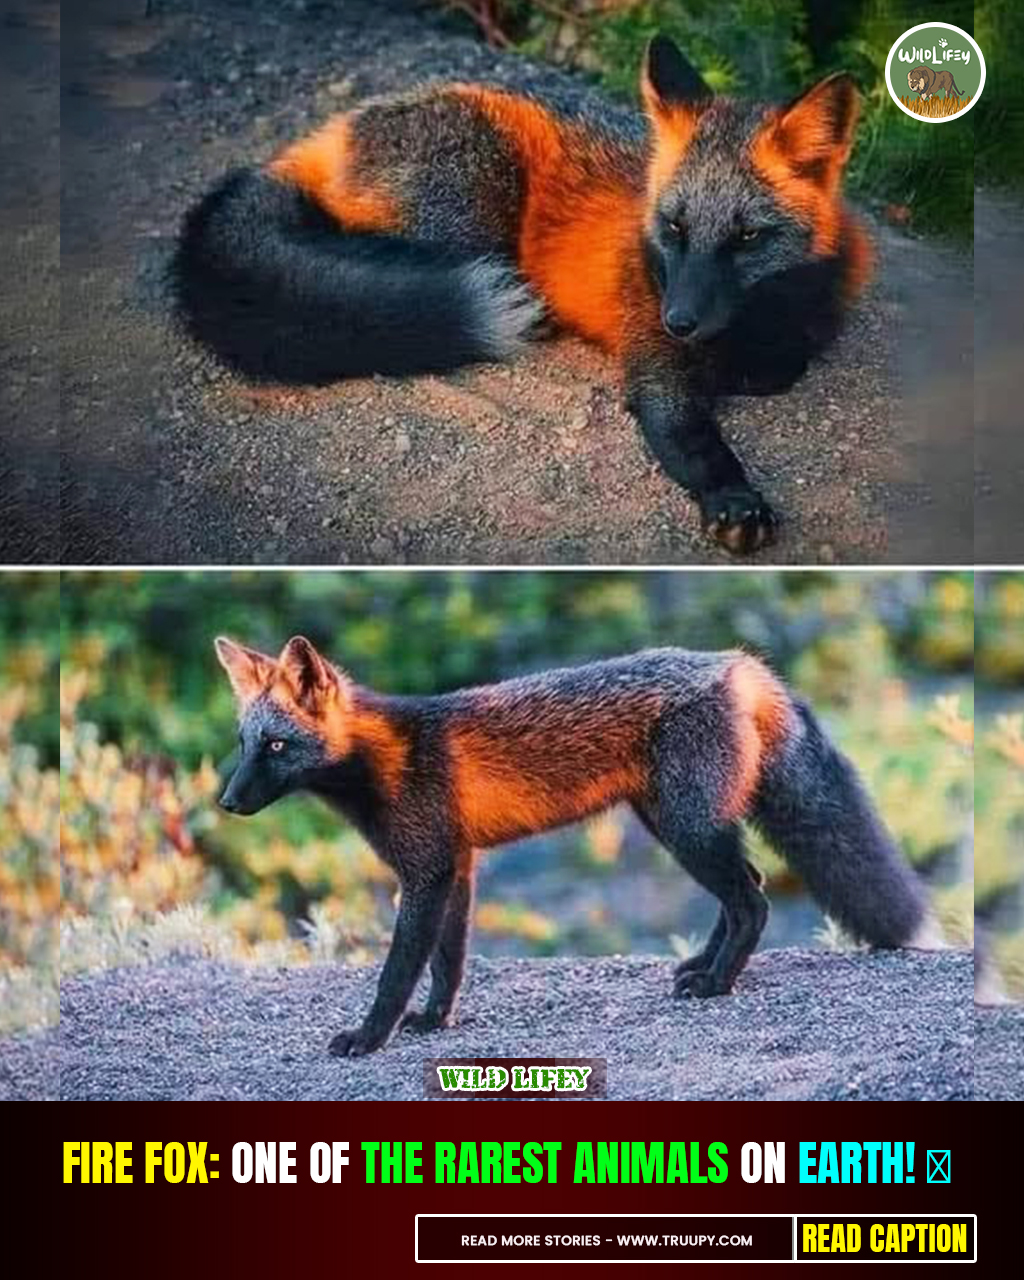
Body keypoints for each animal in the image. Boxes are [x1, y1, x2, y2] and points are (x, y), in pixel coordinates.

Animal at [174, 36, 872, 555]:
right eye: (674, 227)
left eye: (748, 237)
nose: (679, 319)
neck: (756, 321)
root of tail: (334, 130)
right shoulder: (653, 362)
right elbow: (691, 436)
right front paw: (732, 497)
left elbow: (785, 365)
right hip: (473, 213)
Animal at [214, 633, 935, 1057]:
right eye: (246, 744)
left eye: (276, 746)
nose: (227, 802)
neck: (389, 761)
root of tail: (739, 664)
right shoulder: (458, 866)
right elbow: (448, 962)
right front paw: (436, 1021)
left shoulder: (424, 872)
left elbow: (397, 971)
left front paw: (369, 1036)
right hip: (675, 822)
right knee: (741, 896)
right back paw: (702, 967)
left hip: (688, 828)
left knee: (753, 899)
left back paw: (717, 983)